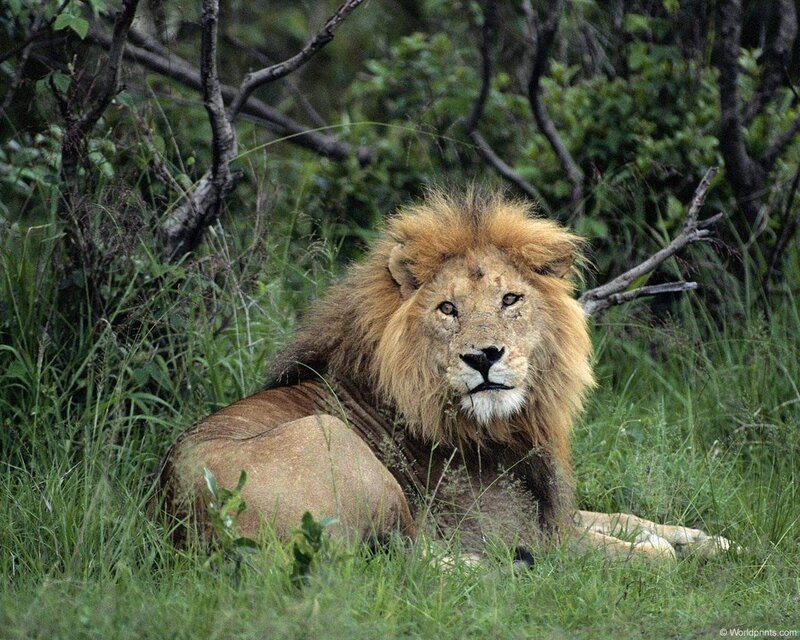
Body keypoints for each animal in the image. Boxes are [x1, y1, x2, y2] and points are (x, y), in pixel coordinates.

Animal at [157, 189, 733, 562]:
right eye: (448, 309)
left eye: (510, 299)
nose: (484, 356)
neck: (508, 425)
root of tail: (185, 521)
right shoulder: (530, 532)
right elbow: (649, 557)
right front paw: (666, 552)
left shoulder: (555, 511)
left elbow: (632, 519)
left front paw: (716, 540)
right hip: (331, 441)